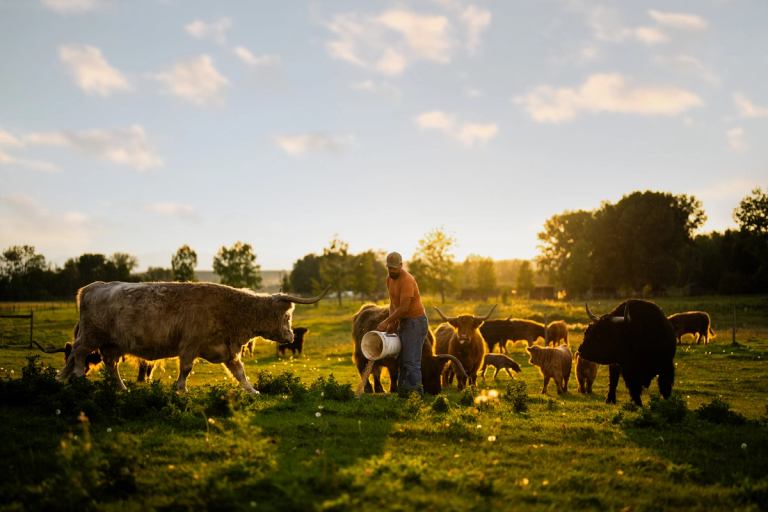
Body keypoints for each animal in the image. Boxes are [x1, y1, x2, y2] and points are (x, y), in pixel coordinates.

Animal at [58, 281, 329, 393]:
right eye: (288, 316)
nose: (291, 336)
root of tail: (93, 287)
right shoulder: (189, 345)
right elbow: (186, 369)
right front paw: (181, 389)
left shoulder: (228, 351)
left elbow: (240, 373)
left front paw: (253, 391)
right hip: (91, 336)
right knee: (78, 353)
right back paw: (77, 375)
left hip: (112, 344)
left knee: (108, 365)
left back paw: (117, 387)